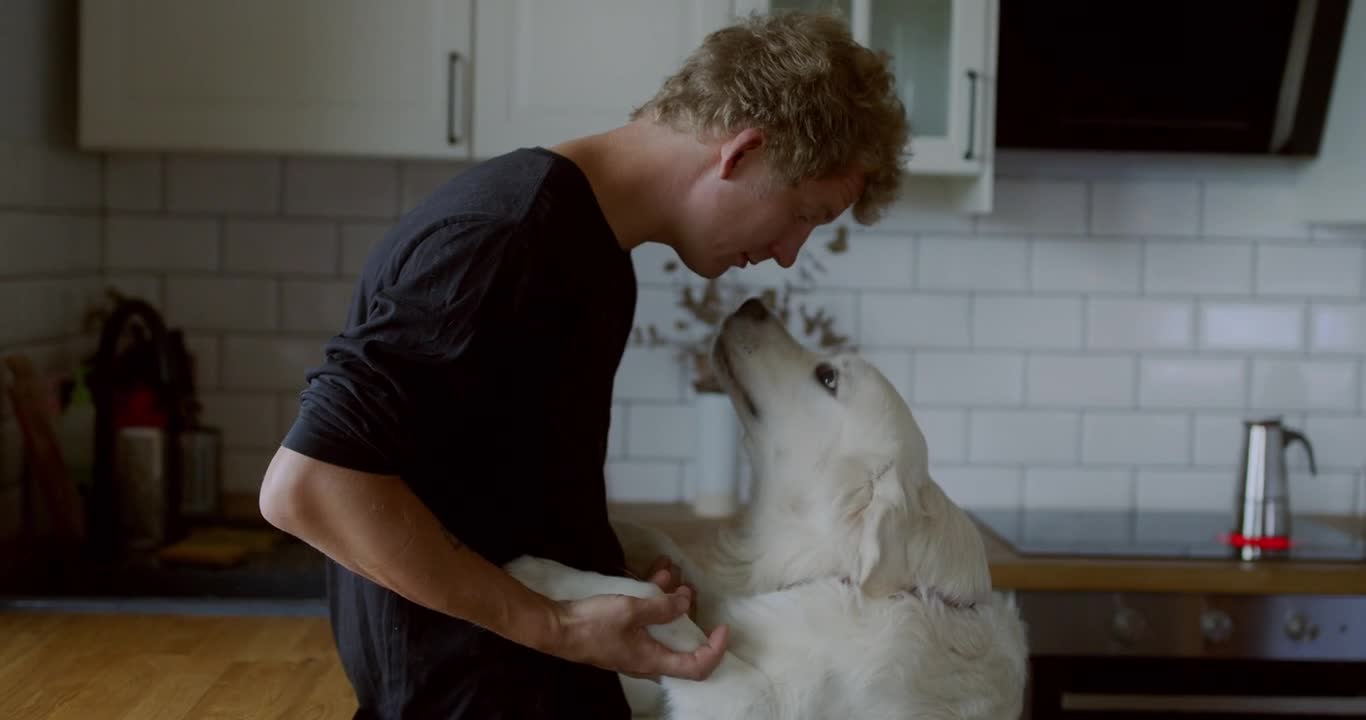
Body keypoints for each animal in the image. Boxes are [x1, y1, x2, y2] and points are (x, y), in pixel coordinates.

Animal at [508, 297, 1027, 715]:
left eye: (827, 376)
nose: (753, 303)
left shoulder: (743, 701)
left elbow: (656, 600)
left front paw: (540, 574)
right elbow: (671, 553)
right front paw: (623, 527)